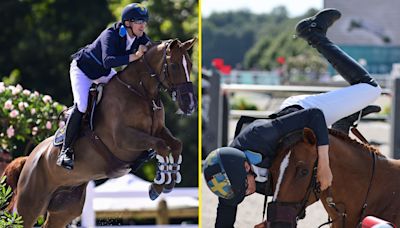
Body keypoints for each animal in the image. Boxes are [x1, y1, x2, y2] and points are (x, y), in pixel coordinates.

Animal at [1, 38, 197, 227]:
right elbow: (161, 146)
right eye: (174, 66)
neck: (140, 93)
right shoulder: (123, 139)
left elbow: (175, 144)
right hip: (30, 205)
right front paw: (157, 186)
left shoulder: (158, 131)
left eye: (190, 65)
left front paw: (169, 181)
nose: (190, 105)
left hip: (65, 209)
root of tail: (29, 159)